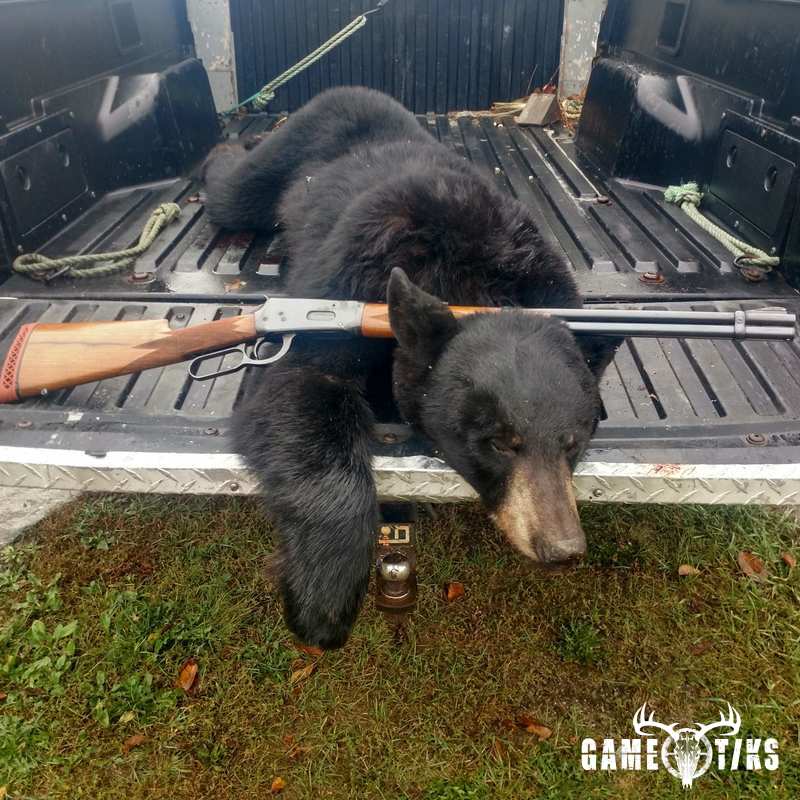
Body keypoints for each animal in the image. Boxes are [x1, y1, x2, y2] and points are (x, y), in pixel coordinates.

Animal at [203, 87, 619, 649]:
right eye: (497, 443)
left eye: (573, 442)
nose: (561, 548)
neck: (465, 271)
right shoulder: (352, 276)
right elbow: (300, 383)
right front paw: (323, 598)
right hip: (291, 149)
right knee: (232, 188)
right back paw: (227, 146)